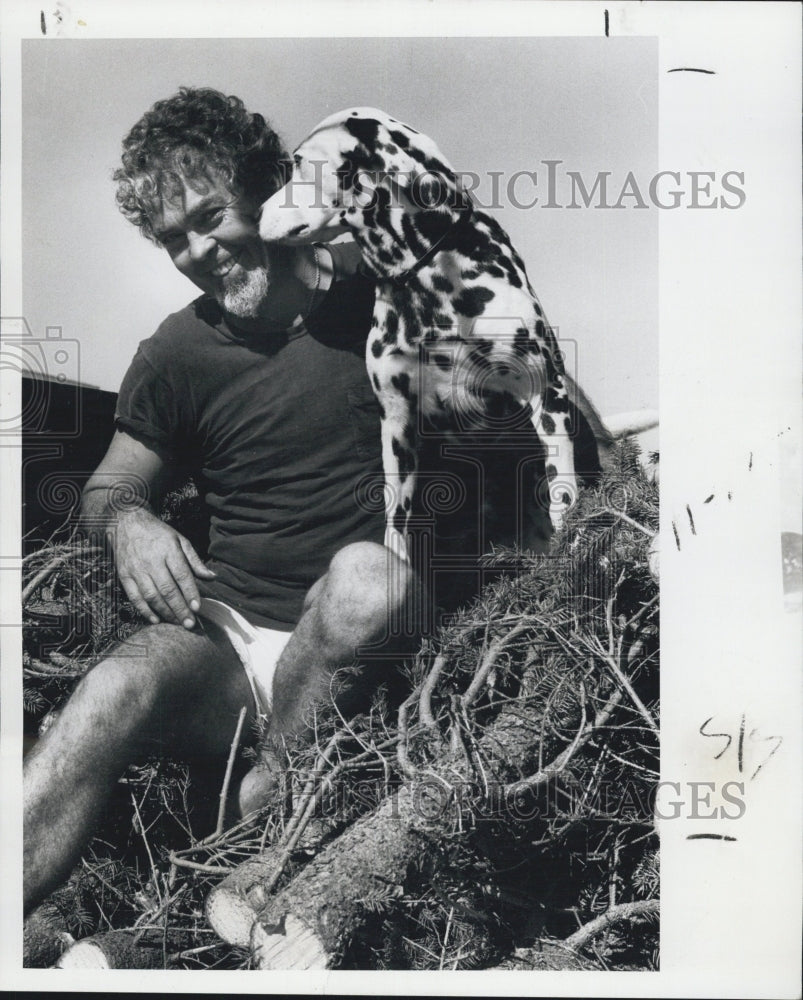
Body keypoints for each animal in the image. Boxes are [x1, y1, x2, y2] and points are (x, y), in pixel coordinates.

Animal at [260, 111, 580, 564]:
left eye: (300, 163)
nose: (255, 214)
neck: (429, 278)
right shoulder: (398, 420)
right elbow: (397, 521)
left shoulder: (544, 390)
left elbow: (564, 494)